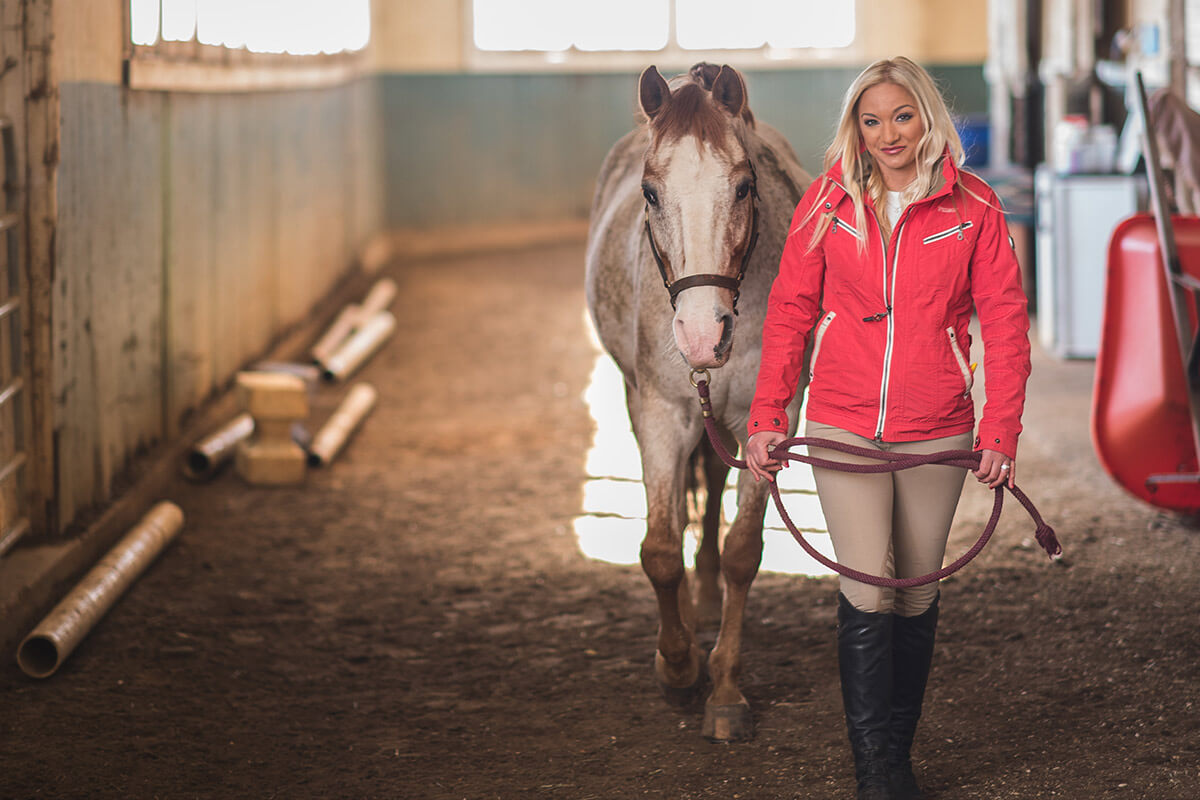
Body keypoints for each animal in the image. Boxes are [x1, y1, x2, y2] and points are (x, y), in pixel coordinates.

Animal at [583, 64, 811, 743]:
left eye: (743, 186)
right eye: (651, 193)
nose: (702, 335)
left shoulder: (769, 422)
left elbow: (742, 552)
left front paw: (726, 689)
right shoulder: (660, 415)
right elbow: (659, 548)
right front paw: (678, 666)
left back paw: (704, 601)